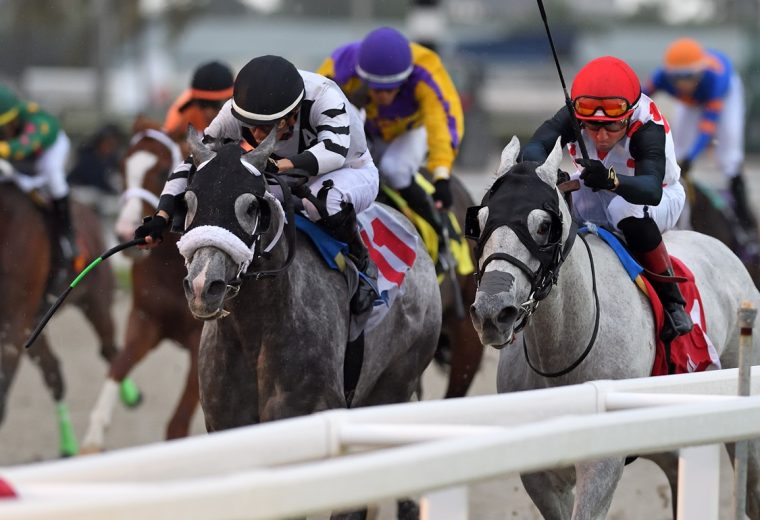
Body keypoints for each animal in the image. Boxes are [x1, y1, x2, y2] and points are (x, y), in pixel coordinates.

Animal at [0, 179, 125, 456]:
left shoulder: (13, 324)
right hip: (36, 326)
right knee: (54, 372)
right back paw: (68, 444)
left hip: (96, 301)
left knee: (110, 349)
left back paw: (130, 395)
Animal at [81, 120, 203, 452]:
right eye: (123, 166)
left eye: (162, 171)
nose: (125, 231)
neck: (172, 266)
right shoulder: (145, 320)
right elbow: (117, 366)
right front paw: (93, 438)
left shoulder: (200, 340)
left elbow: (177, 424)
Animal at [178, 129, 440, 516]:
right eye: (191, 200)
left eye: (251, 206)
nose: (202, 285)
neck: (254, 330)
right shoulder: (228, 430)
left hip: (395, 381)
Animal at [472, 135, 760, 520]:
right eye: (480, 221)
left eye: (544, 226)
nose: (492, 312)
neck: (563, 350)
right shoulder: (540, 473)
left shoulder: (602, 465)